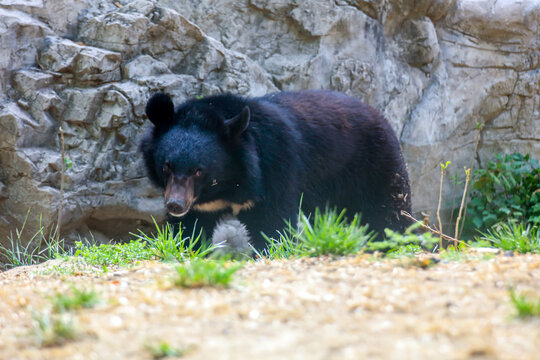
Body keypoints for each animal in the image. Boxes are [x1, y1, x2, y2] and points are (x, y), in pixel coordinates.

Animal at [139, 89, 410, 250]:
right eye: (166, 166)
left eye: (199, 170)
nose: (175, 205)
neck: (227, 185)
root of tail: (379, 115)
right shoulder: (201, 205)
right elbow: (191, 227)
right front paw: (188, 247)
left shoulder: (276, 169)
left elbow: (273, 221)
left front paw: (268, 250)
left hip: (374, 166)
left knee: (388, 212)